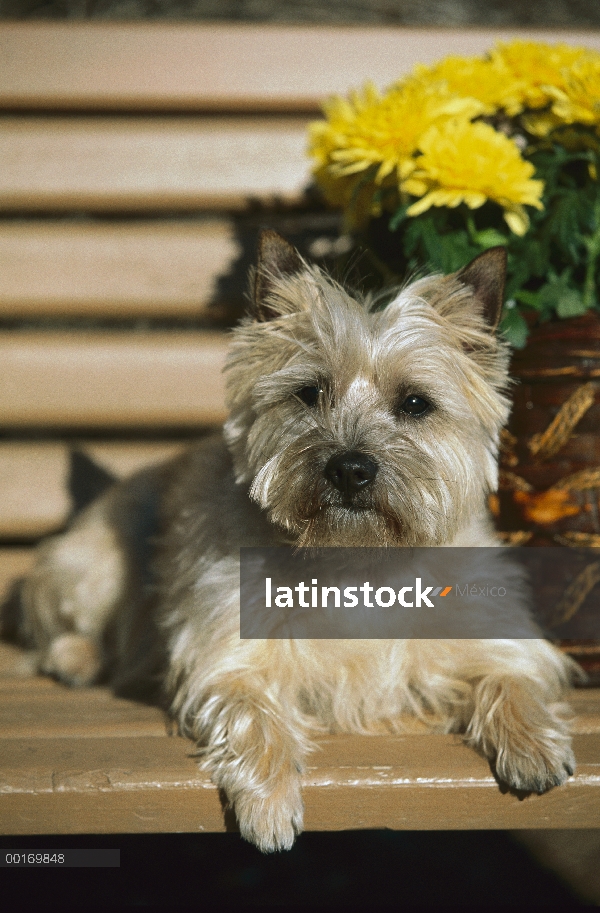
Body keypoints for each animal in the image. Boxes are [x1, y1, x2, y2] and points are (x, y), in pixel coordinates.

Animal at [12, 232, 576, 852]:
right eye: (309, 393)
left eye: (415, 403)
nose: (350, 468)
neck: (356, 561)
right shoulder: (226, 659)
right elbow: (252, 712)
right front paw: (270, 805)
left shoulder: (492, 636)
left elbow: (512, 676)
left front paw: (535, 745)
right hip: (97, 567)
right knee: (65, 626)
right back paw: (78, 657)